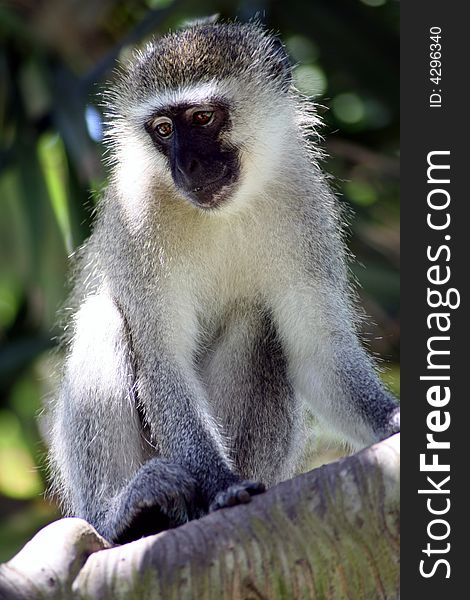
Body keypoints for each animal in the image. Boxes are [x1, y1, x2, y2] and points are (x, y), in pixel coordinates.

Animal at [47, 22, 400, 544]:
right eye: (164, 130)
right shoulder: (138, 217)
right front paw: (221, 485)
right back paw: (124, 515)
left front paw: (393, 421)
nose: (187, 166)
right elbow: (163, 362)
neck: (224, 212)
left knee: (262, 322)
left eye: (202, 117)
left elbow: (317, 351)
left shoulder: (304, 202)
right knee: (103, 318)